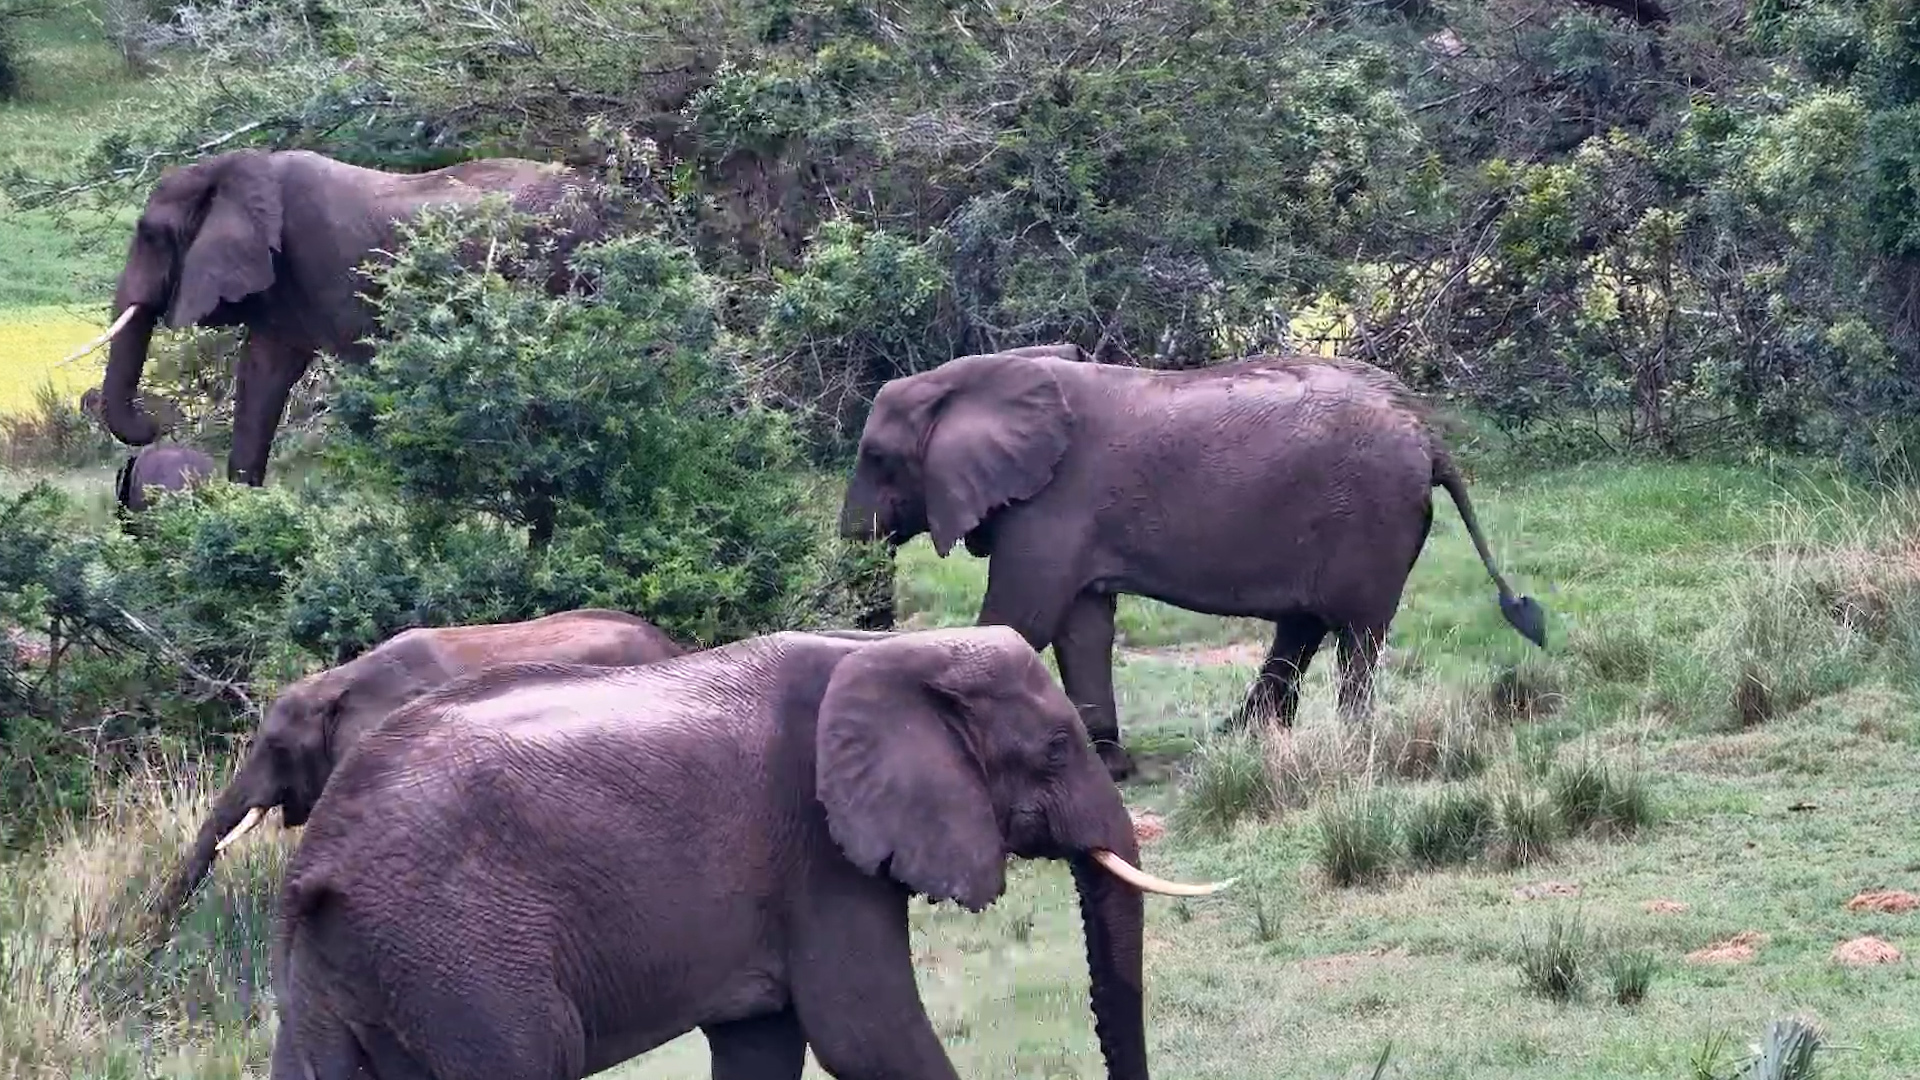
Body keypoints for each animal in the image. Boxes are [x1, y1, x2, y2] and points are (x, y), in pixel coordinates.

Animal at [268, 626, 1226, 1080]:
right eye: (1058, 750)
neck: (885, 652)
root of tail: (317, 858)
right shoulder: (816, 850)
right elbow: (867, 1036)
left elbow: (764, 1047)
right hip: (460, 952)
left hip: (347, 961)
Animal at [838, 346, 1547, 781]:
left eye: (877, 458)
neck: (986, 376)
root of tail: (1427, 432)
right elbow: (1081, 626)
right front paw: (1109, 766)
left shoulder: (1055, 502)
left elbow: (1019, 620)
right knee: (1306, 624)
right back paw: (1242, 737)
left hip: (1373, 517)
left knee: (1354, 633)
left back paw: (1347, 746)